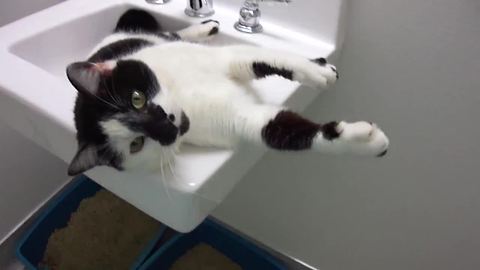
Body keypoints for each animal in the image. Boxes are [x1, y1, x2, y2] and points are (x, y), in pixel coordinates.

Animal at [65, 8, 390, 175]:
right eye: (136, 144)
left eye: (137, 99)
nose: (168, 124)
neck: (185, 97)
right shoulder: (243, 120)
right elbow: (290, 132)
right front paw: (362, 142)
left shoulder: (228, 58)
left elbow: (276, 60)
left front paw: (318, 72)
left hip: (157, 39)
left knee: (170, 33)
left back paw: (204, 26)